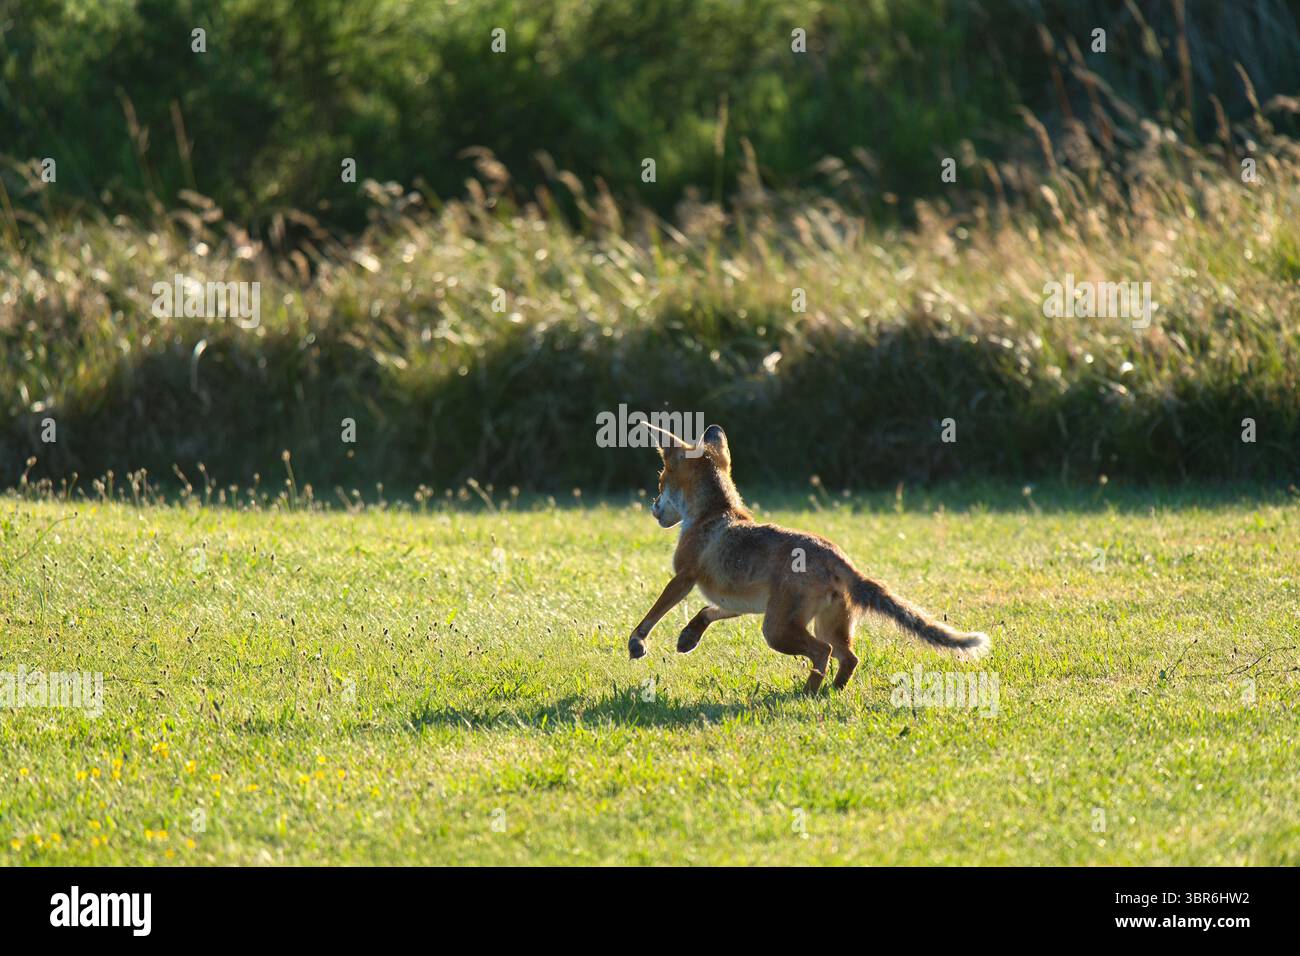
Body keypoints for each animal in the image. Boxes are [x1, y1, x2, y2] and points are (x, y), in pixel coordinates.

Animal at [627, 424, 990, 693]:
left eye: (660, 482)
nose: (653, 508)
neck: (712, 515)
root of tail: (837, 556)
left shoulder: (684, 577)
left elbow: (653, 614)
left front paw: (637, 643)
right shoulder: (740, 602)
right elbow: (706, 611)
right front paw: (689, 636)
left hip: (776, 630)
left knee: (823, 652)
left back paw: (807, 693)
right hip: (823, 624)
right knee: (849, 658)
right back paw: (833, 691)